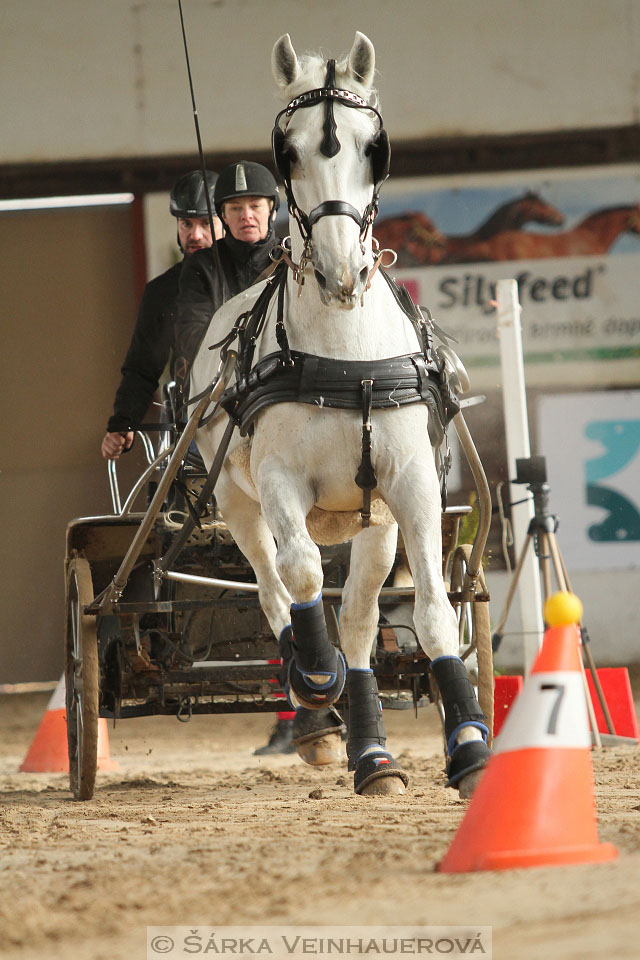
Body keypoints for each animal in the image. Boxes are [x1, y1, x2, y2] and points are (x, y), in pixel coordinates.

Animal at [190, 31, 490, 796]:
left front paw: (470, 746)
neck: (346, 359)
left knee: (357, 619)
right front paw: (314, 673)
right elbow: (299, 574)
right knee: (273, 587)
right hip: (234, 498)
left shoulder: (410, 486)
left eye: (371, 145)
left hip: (372, 521)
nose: (339, 270)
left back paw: (372, 755)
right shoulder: (277, 482)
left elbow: (435, 613)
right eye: (288, 151)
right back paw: (314, 692)